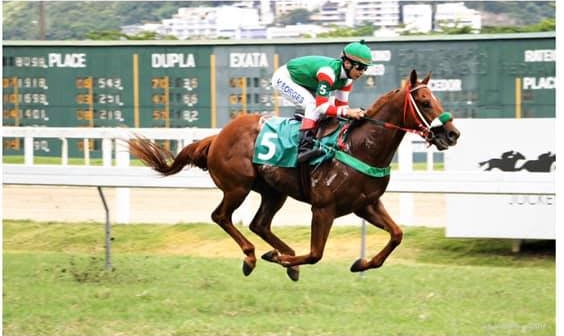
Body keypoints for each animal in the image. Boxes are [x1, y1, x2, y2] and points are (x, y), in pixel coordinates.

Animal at [130, 70, 460, 280]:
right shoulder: (323, 208)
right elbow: (315, 254)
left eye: (438, 100)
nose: (453, 134)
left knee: (259, 223)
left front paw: (362, 263)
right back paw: (253, 256)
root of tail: (218, 136)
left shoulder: (366, 204)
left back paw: (281, 255)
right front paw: (280, 258)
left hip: (273, 192)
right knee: (221, 216)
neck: (360, 147)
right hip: (237, 187)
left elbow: (397, 234)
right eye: (426, 102)